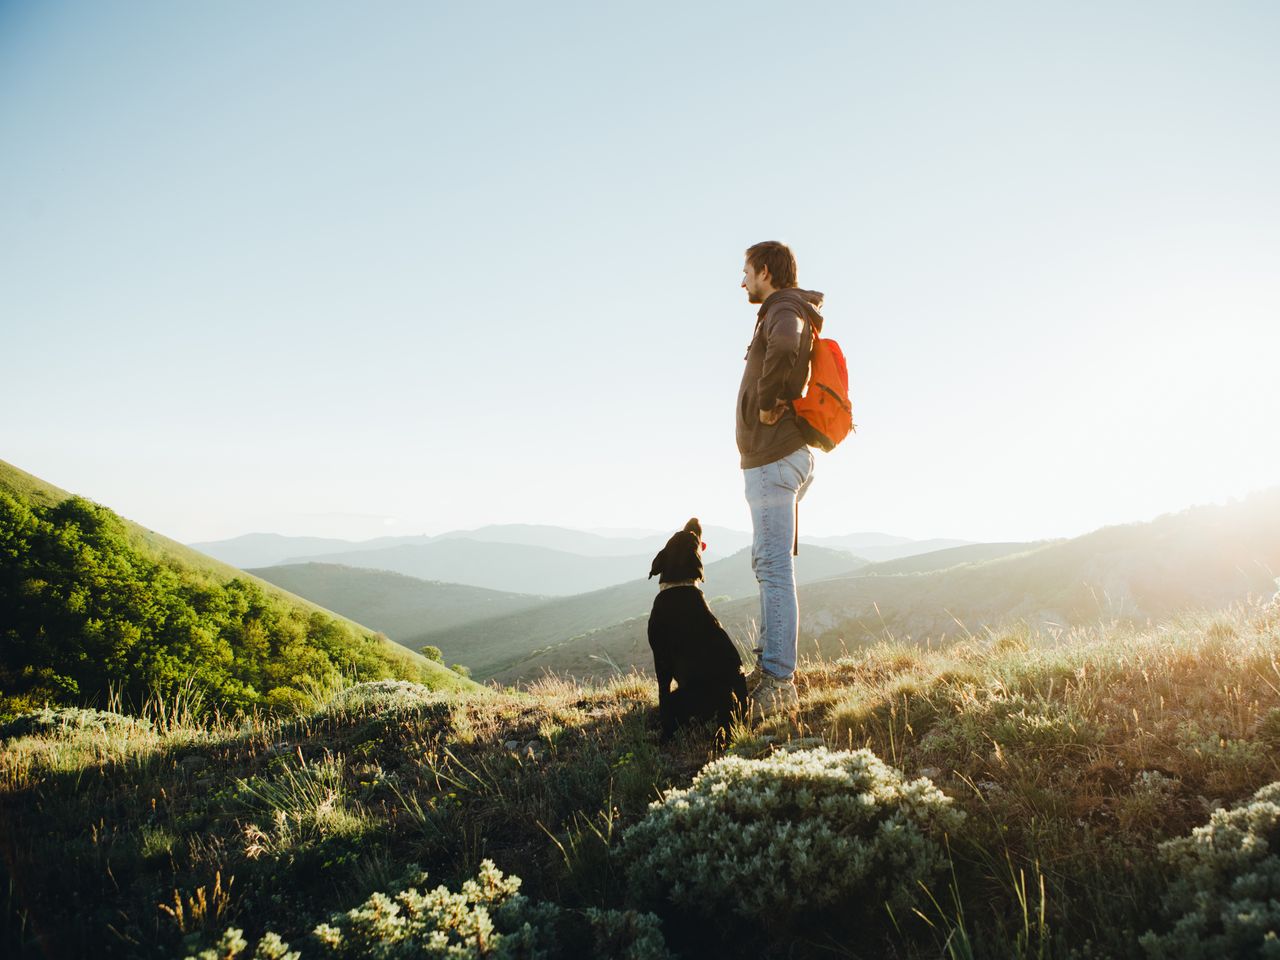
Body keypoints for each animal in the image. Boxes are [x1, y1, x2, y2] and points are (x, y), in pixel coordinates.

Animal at [645, 522, 747, 742]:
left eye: (692, 534)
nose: (695, 519)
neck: (679, 584)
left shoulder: (661, 657)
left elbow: (662, 694)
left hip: (680, 695)